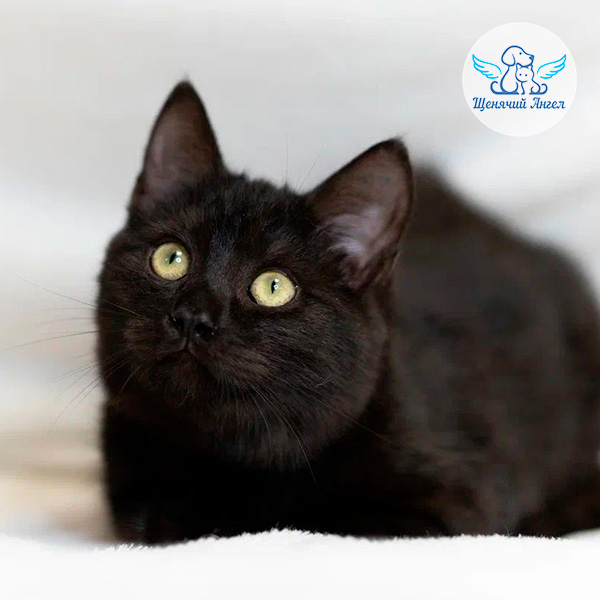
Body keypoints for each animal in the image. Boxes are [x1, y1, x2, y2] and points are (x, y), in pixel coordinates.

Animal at [99, 81, 600, 544]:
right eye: (171, 258)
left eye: (273, 287)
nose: (193, 317)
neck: (234, 466)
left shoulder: (453, 504)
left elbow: (322, 520)